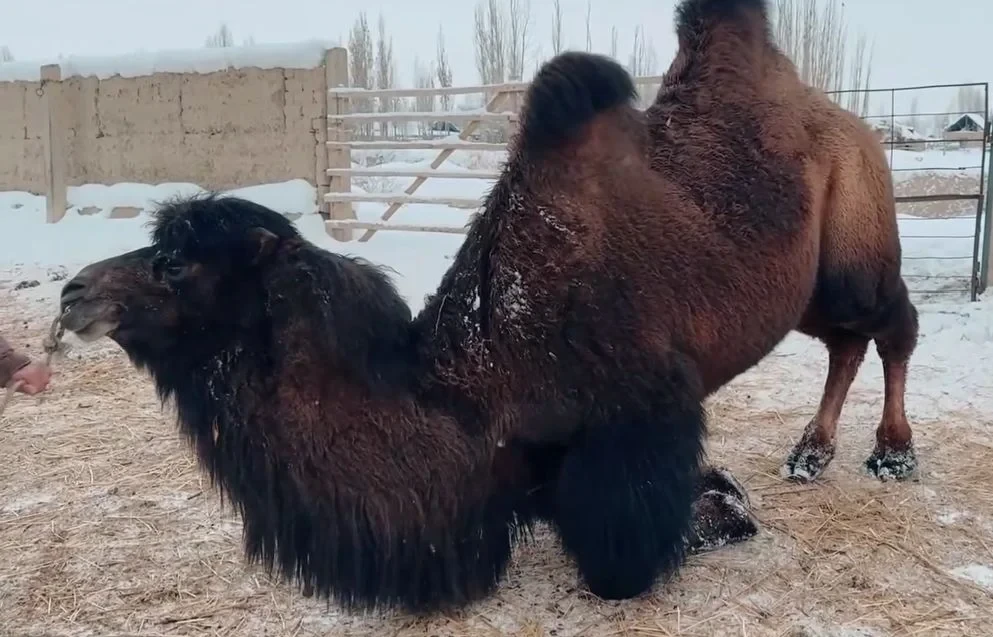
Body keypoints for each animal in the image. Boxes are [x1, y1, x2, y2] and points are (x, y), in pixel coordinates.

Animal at [57, 0, 919, 615]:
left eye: (175, 262)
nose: (72, 293)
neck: (482, 387)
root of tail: (838, 116)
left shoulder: (640, 417)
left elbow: (620, 562)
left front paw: (723, 513)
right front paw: (726, 496)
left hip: (853, 245)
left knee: (890, 325)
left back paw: (891, 455)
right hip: (803, 289)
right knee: (843, 341)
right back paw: (809, 453)